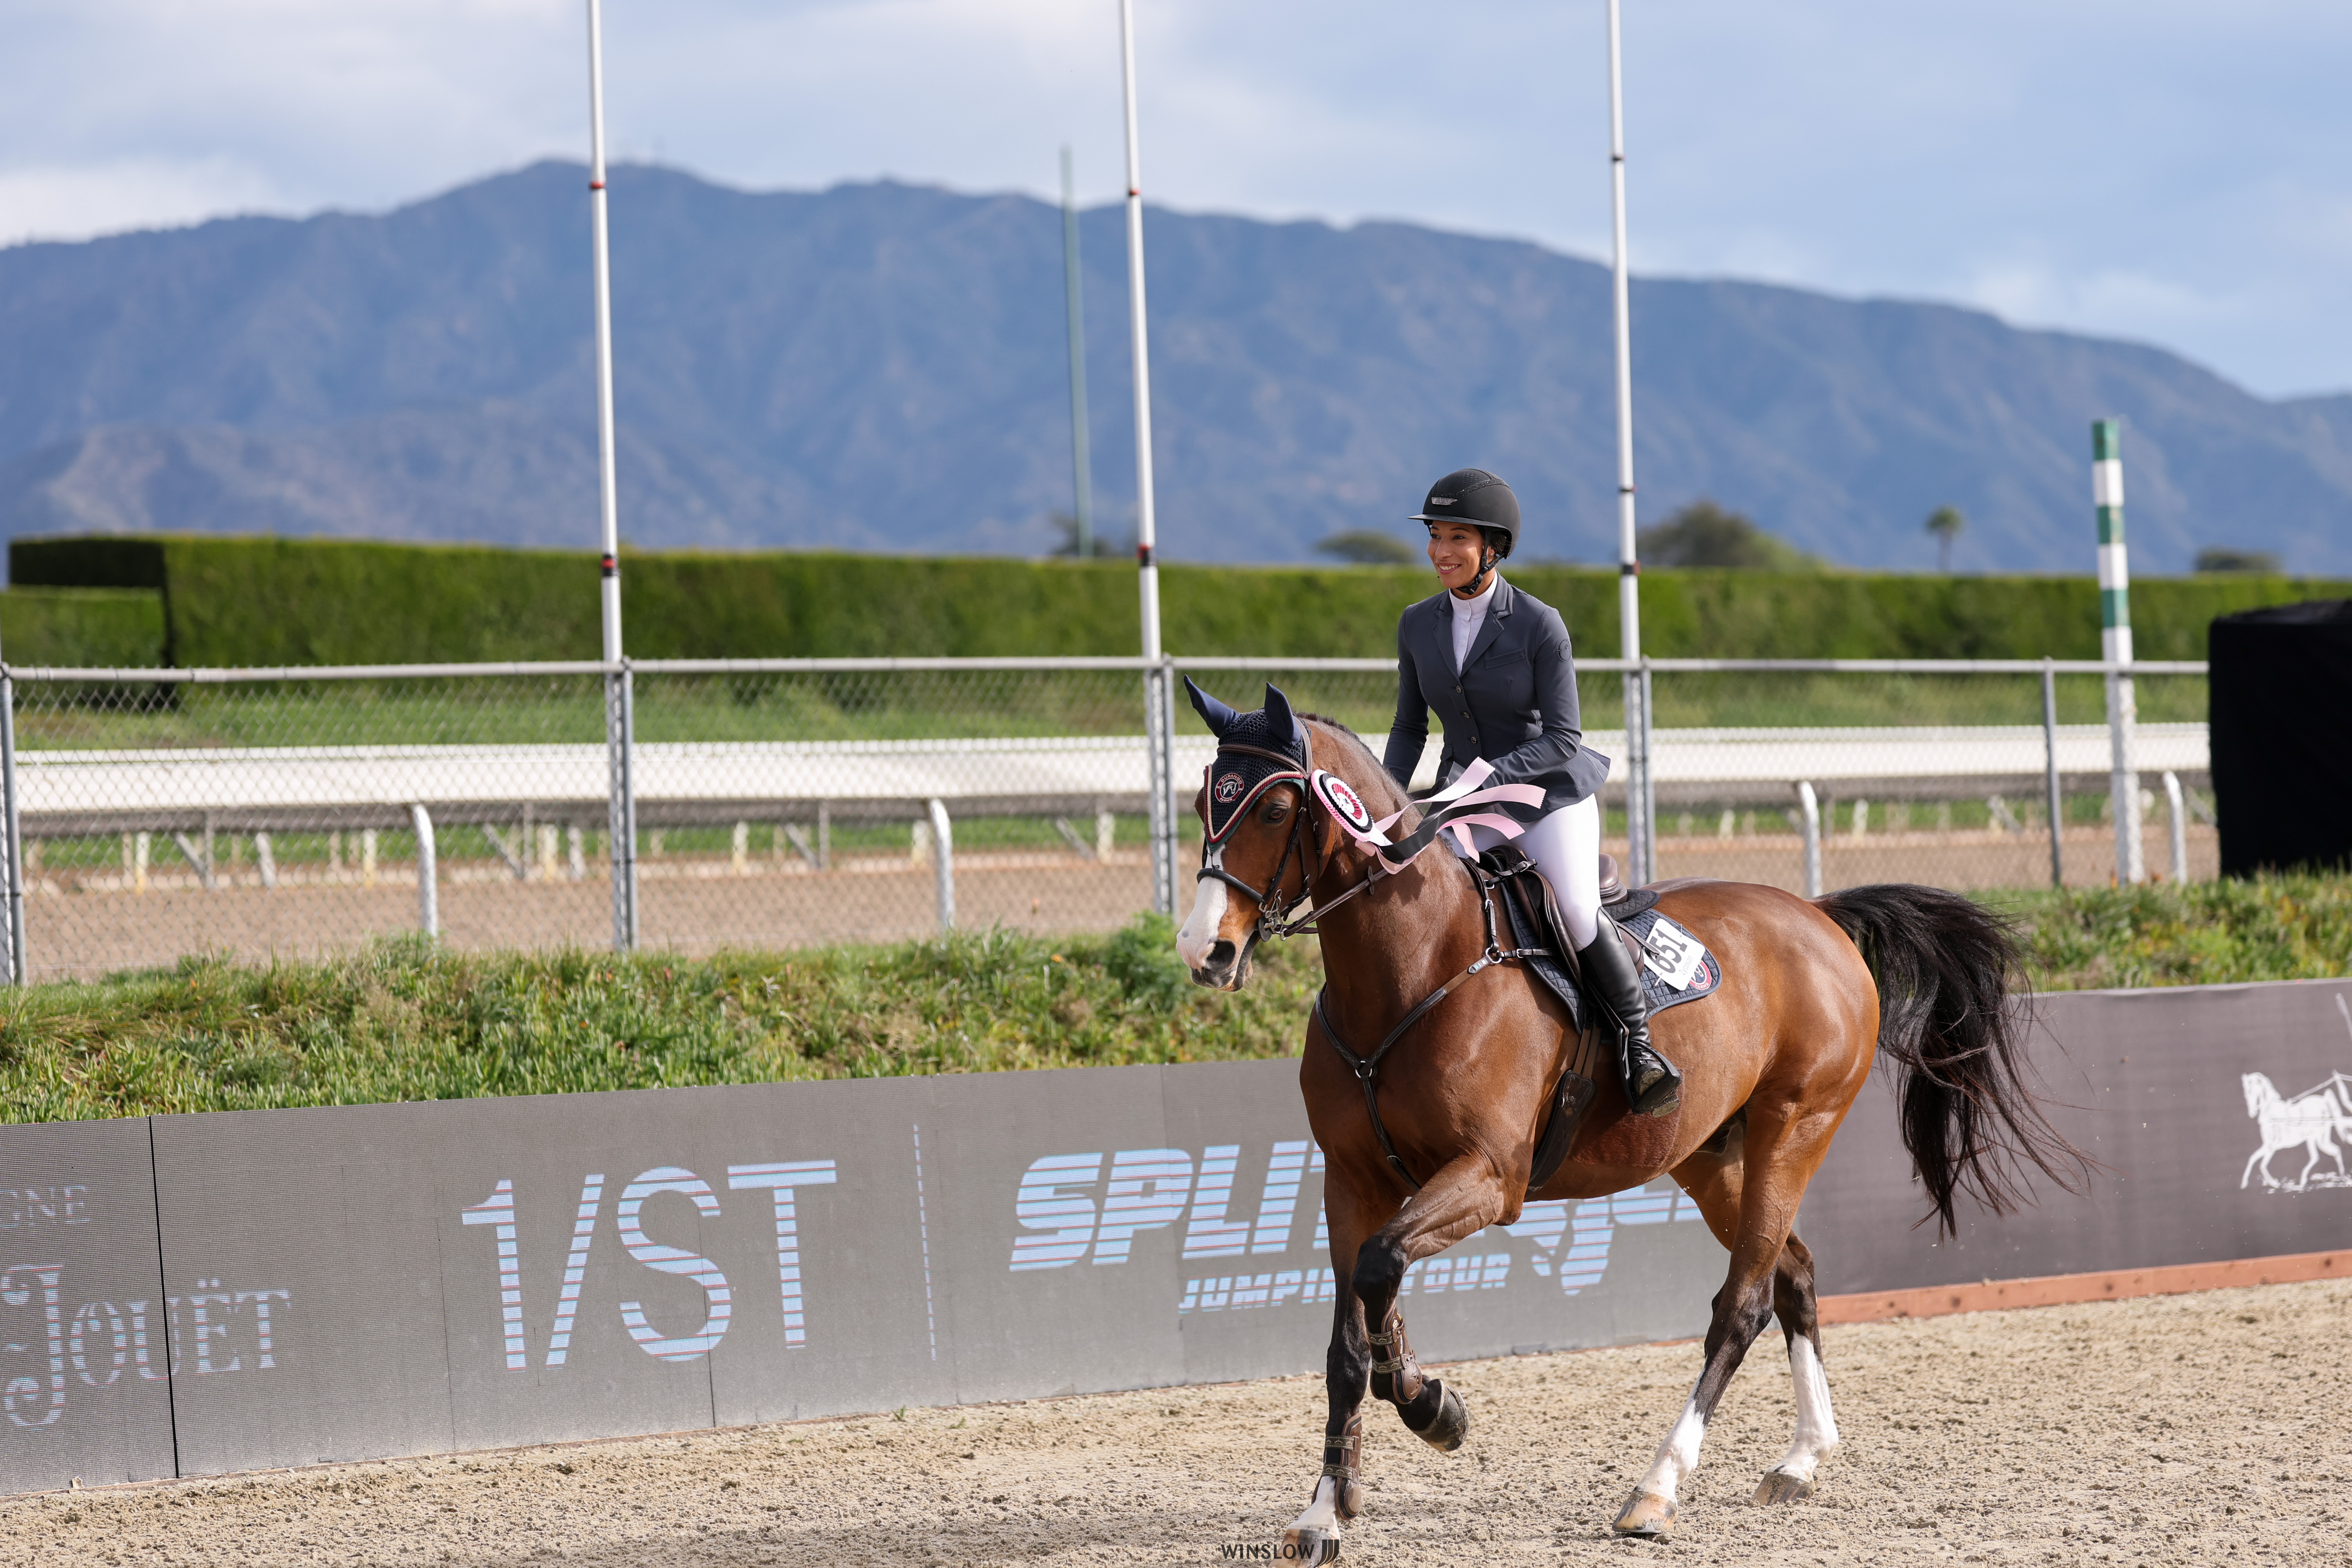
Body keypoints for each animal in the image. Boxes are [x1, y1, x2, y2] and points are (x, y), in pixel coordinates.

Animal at [1172, 687, 2084, 1558]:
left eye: (1273, 808)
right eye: (1202, 799)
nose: (1202, 952)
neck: (1410, 966)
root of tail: (1817, 915)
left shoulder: (1488, 1177)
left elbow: (1380, 1269)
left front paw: (1431, 1407)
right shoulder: (1352, 1179)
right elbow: (1352, 1333)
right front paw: (1329, 1504)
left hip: (1793, 1129)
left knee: (1741, 1303)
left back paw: (1656, 1488)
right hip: (1709, 1156)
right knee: (1792, 1271)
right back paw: (1799, 1458)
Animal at [2239, 1072, 2352, 1192]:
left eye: (2254, 1092)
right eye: (2246, 1092)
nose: (2252, 1113)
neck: (2271, 1113)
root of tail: (2324, 1101)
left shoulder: (2272, 1146)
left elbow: (2262, 1166)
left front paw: (2275, 1184)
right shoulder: (2267, 1146)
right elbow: (2252, 1159)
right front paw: (2244, 1184)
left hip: (2315, 1139)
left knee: (2321, 1155)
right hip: (2319, 1140)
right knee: (2332, 1152)